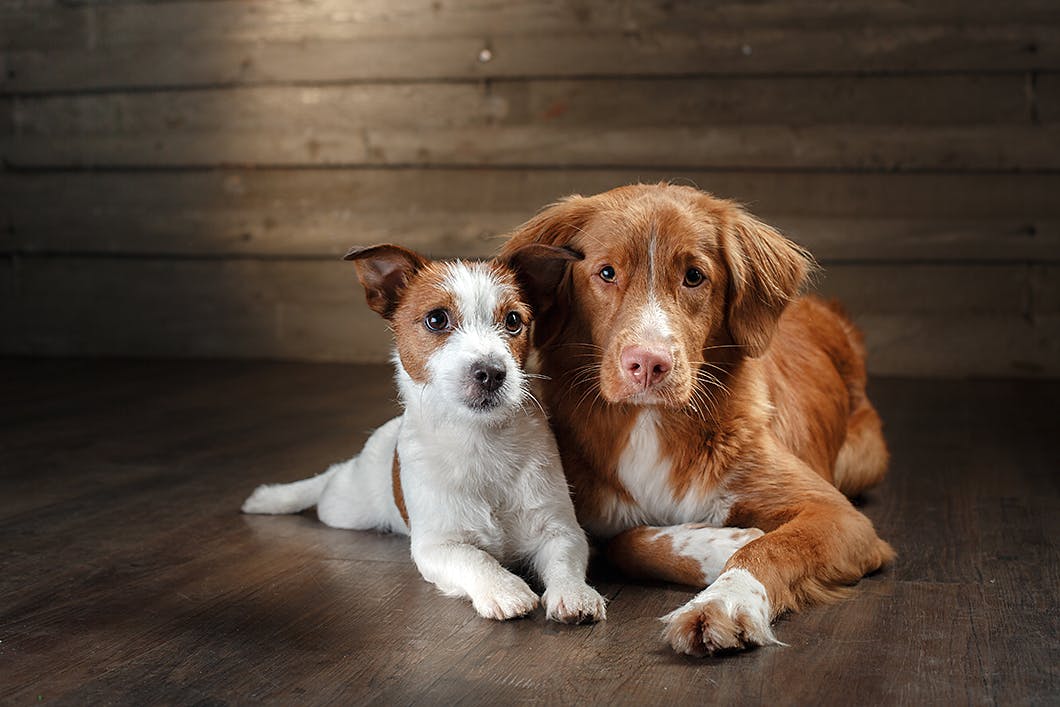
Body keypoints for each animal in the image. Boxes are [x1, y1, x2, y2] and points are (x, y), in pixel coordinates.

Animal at [241, 243, 606, 623]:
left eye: (513, 321)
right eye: (436, 319)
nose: (492, 373)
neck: (480, 439)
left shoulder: (561, 530)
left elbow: (565, 561)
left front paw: (574, 594)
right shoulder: (437, 545)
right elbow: (476, 558)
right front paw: (505, 589)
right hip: (344, 507)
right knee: (330, 478)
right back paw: (275, 497)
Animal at [498, 184, 894, 657]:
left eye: (693, 276)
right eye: (607, 272)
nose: (648, 364)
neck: (651, 422)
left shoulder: (840, 516)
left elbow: (771, 550)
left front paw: (724, 601)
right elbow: (625, 542)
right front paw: (729, 541)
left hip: (862, 459)